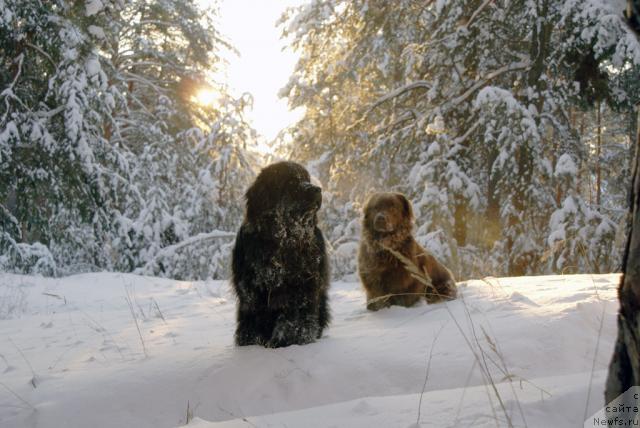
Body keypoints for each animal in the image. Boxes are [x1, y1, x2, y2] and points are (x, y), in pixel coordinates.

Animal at [230, 160, 330, 348]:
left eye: (306, 179)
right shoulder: (251, 290)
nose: (317, 189)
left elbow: (294, 320)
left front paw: (289, 340)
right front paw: (250, 342)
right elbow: (253, 317)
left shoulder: (302, 288)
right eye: (291, 183)